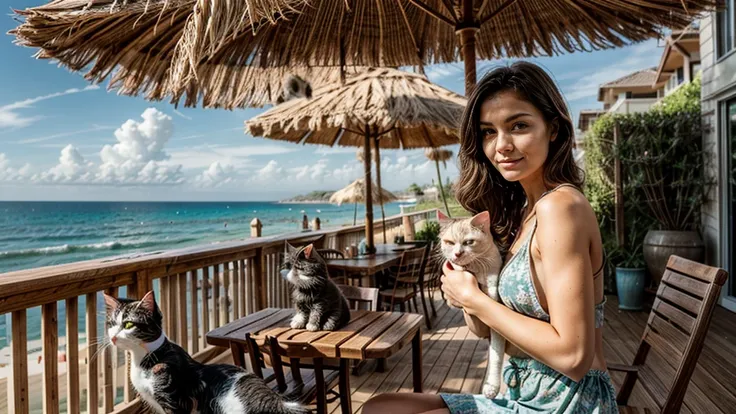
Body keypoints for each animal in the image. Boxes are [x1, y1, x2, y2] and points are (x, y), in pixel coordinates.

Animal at [436, 212, 506, 400]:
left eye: (469, 242)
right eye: (449, 242)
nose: (457, 253)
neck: (475, 269)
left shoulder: (492, 281)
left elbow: (496, 355)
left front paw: (491, 387)